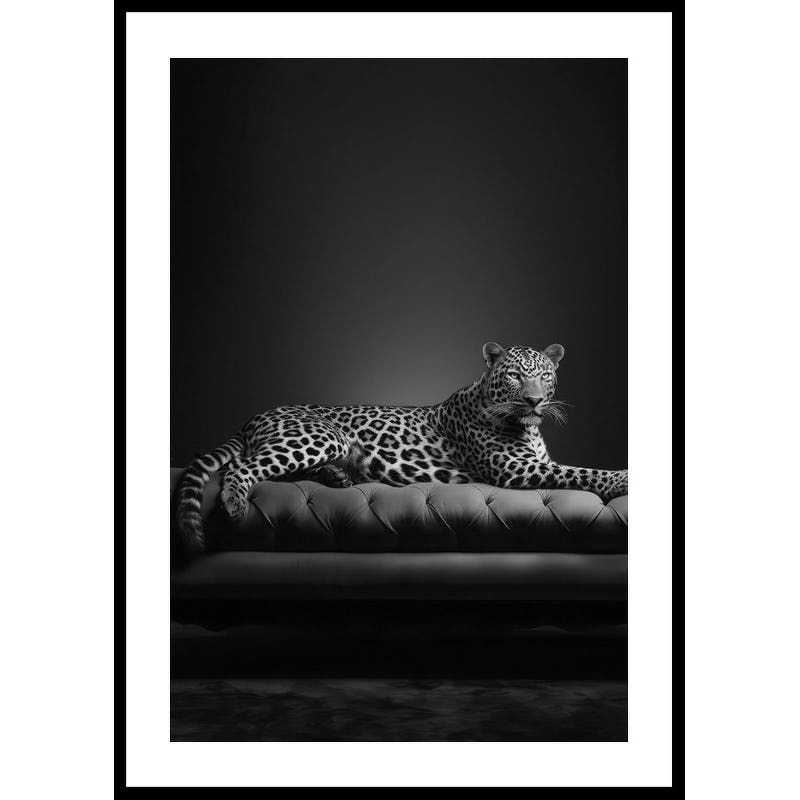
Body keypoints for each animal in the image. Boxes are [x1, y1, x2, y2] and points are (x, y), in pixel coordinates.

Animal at [175, 341, 628, 554]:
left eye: (545, 375)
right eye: (516, 375)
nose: (535, 401)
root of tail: (254, 416)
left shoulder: (533, 461)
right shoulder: (515, 469)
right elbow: (582, 471)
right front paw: (623, 478)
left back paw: (338, 476)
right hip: (319, 436)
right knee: (243, 468)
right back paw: (235, 503)